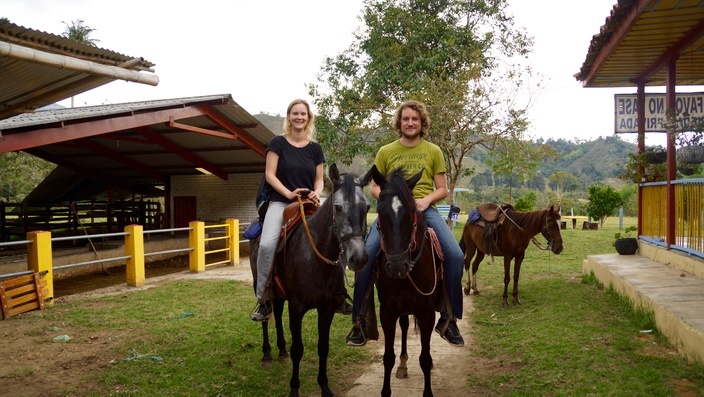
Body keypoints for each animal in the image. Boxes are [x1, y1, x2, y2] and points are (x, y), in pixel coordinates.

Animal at [372, 166, 442, 396]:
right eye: (380, 213)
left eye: (411, 212)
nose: (397, 267)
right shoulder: (387, 312)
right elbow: (388, 357)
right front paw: (386, 390)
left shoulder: (427, 313)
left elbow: (425, 358)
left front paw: (428, 392)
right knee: (403, 326)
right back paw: (403, 365)